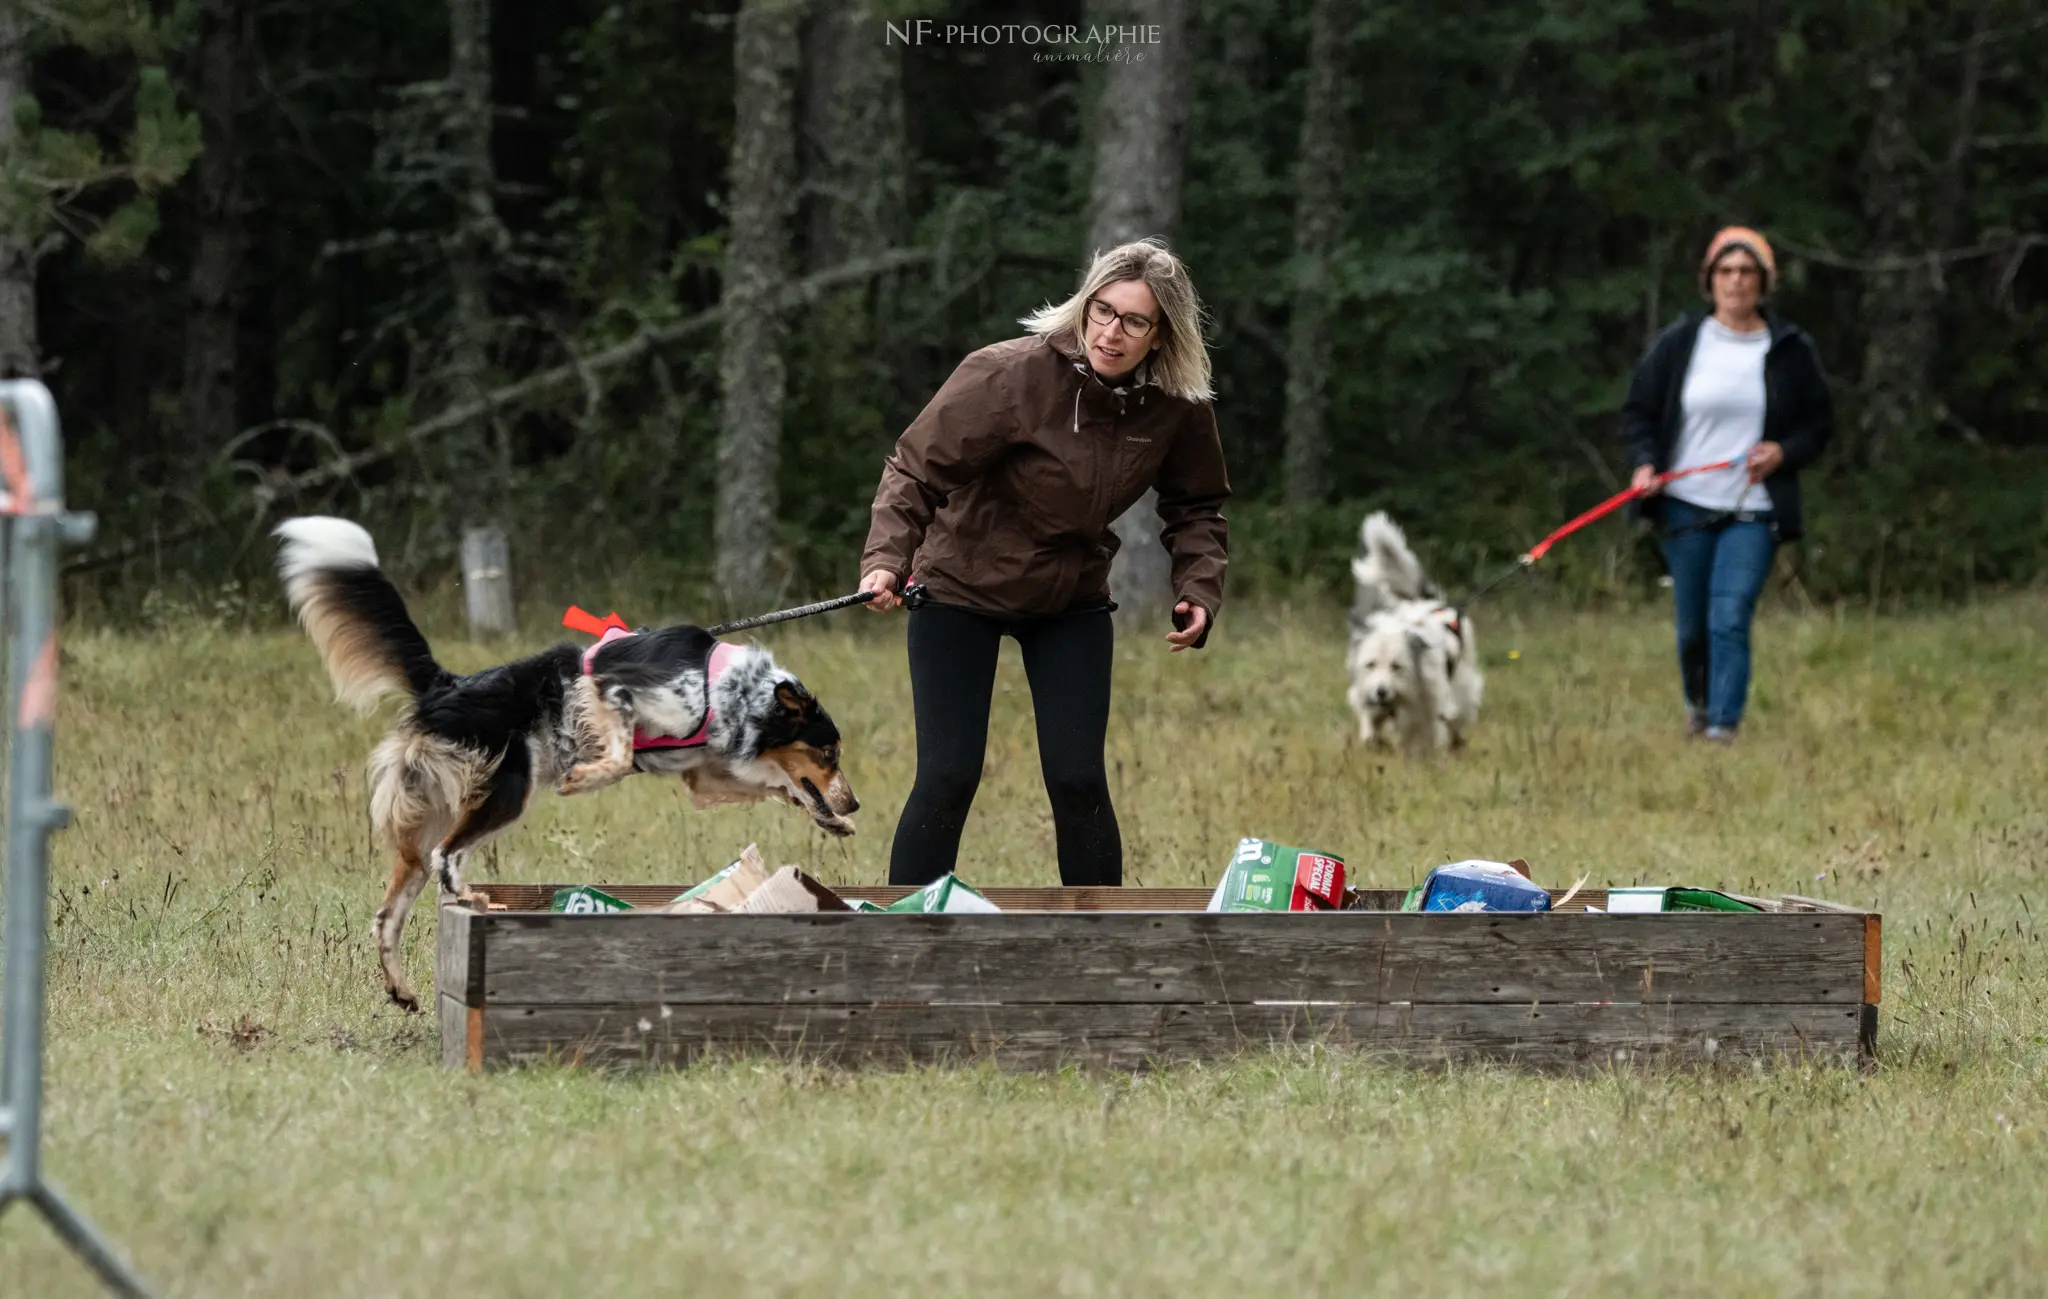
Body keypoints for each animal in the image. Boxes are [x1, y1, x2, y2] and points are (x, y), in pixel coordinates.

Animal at [1351, 508, 1482, 749]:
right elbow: (1370, 720)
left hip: (1463, 684)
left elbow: (1426, 733)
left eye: (1396, 666)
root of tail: (1425, 601)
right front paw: (1371, 738)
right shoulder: (1367, 692)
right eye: (1370, 664)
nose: (1381, 692)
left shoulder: (1431, 704)